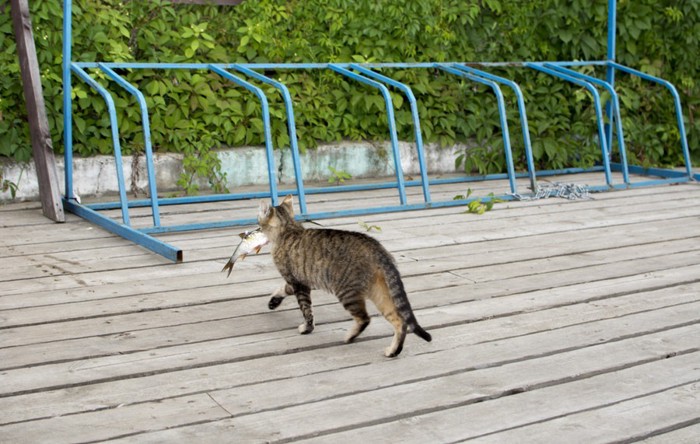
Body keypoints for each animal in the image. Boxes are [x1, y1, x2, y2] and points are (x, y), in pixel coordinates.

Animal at [258, 194, 432, 358]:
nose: (257, 228)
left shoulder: (299, 284)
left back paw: (350, 337)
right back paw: (393, 351)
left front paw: (307, 328)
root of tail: (377, 249)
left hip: (347, 293)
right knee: (400, 321)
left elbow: (306, 310)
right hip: (380, 294)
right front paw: (273, 302)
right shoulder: (298, 281)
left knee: (365, 319)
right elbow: (283, 289)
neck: (289, 228)